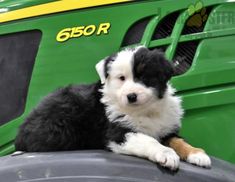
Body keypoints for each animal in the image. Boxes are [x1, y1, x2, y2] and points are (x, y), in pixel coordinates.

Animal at [15, 46, 211, 170]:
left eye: (144, 76)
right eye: (121, 78)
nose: (131, 96)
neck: (144, 110)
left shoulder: (167, 128)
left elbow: (179, 141)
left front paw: (197, 154)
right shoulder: (118, 132)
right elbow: (148, 140)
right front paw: (166, 154)